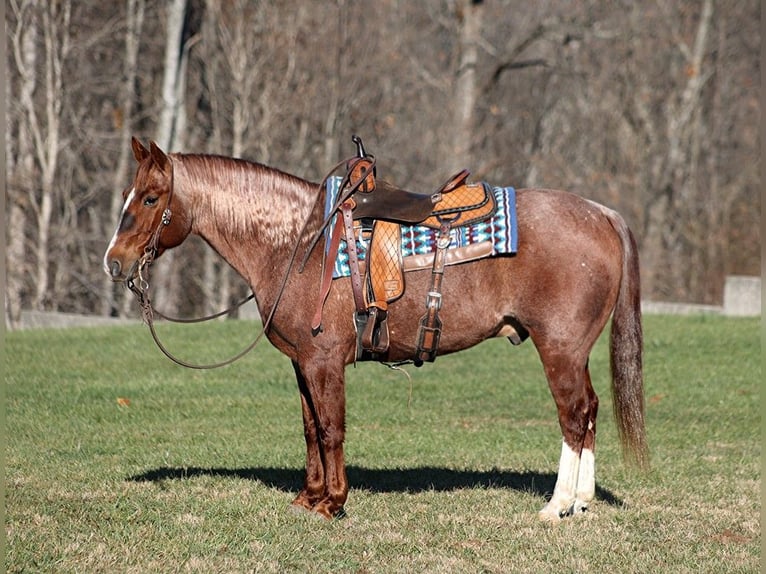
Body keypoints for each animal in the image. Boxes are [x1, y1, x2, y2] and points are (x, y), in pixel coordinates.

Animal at [105, 137, 652, 524]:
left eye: (150, 198)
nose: (114, 262)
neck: (299, 242)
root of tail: (601, 213)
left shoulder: (324, 361)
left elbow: (331, 427)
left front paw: (333, 503)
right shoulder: (302, 363)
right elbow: (310, 428)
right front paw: (309, 498)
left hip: (558, 348)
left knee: (574, 414)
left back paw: (557, 505)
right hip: (573, 352)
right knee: (590, 411)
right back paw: (581, 501)